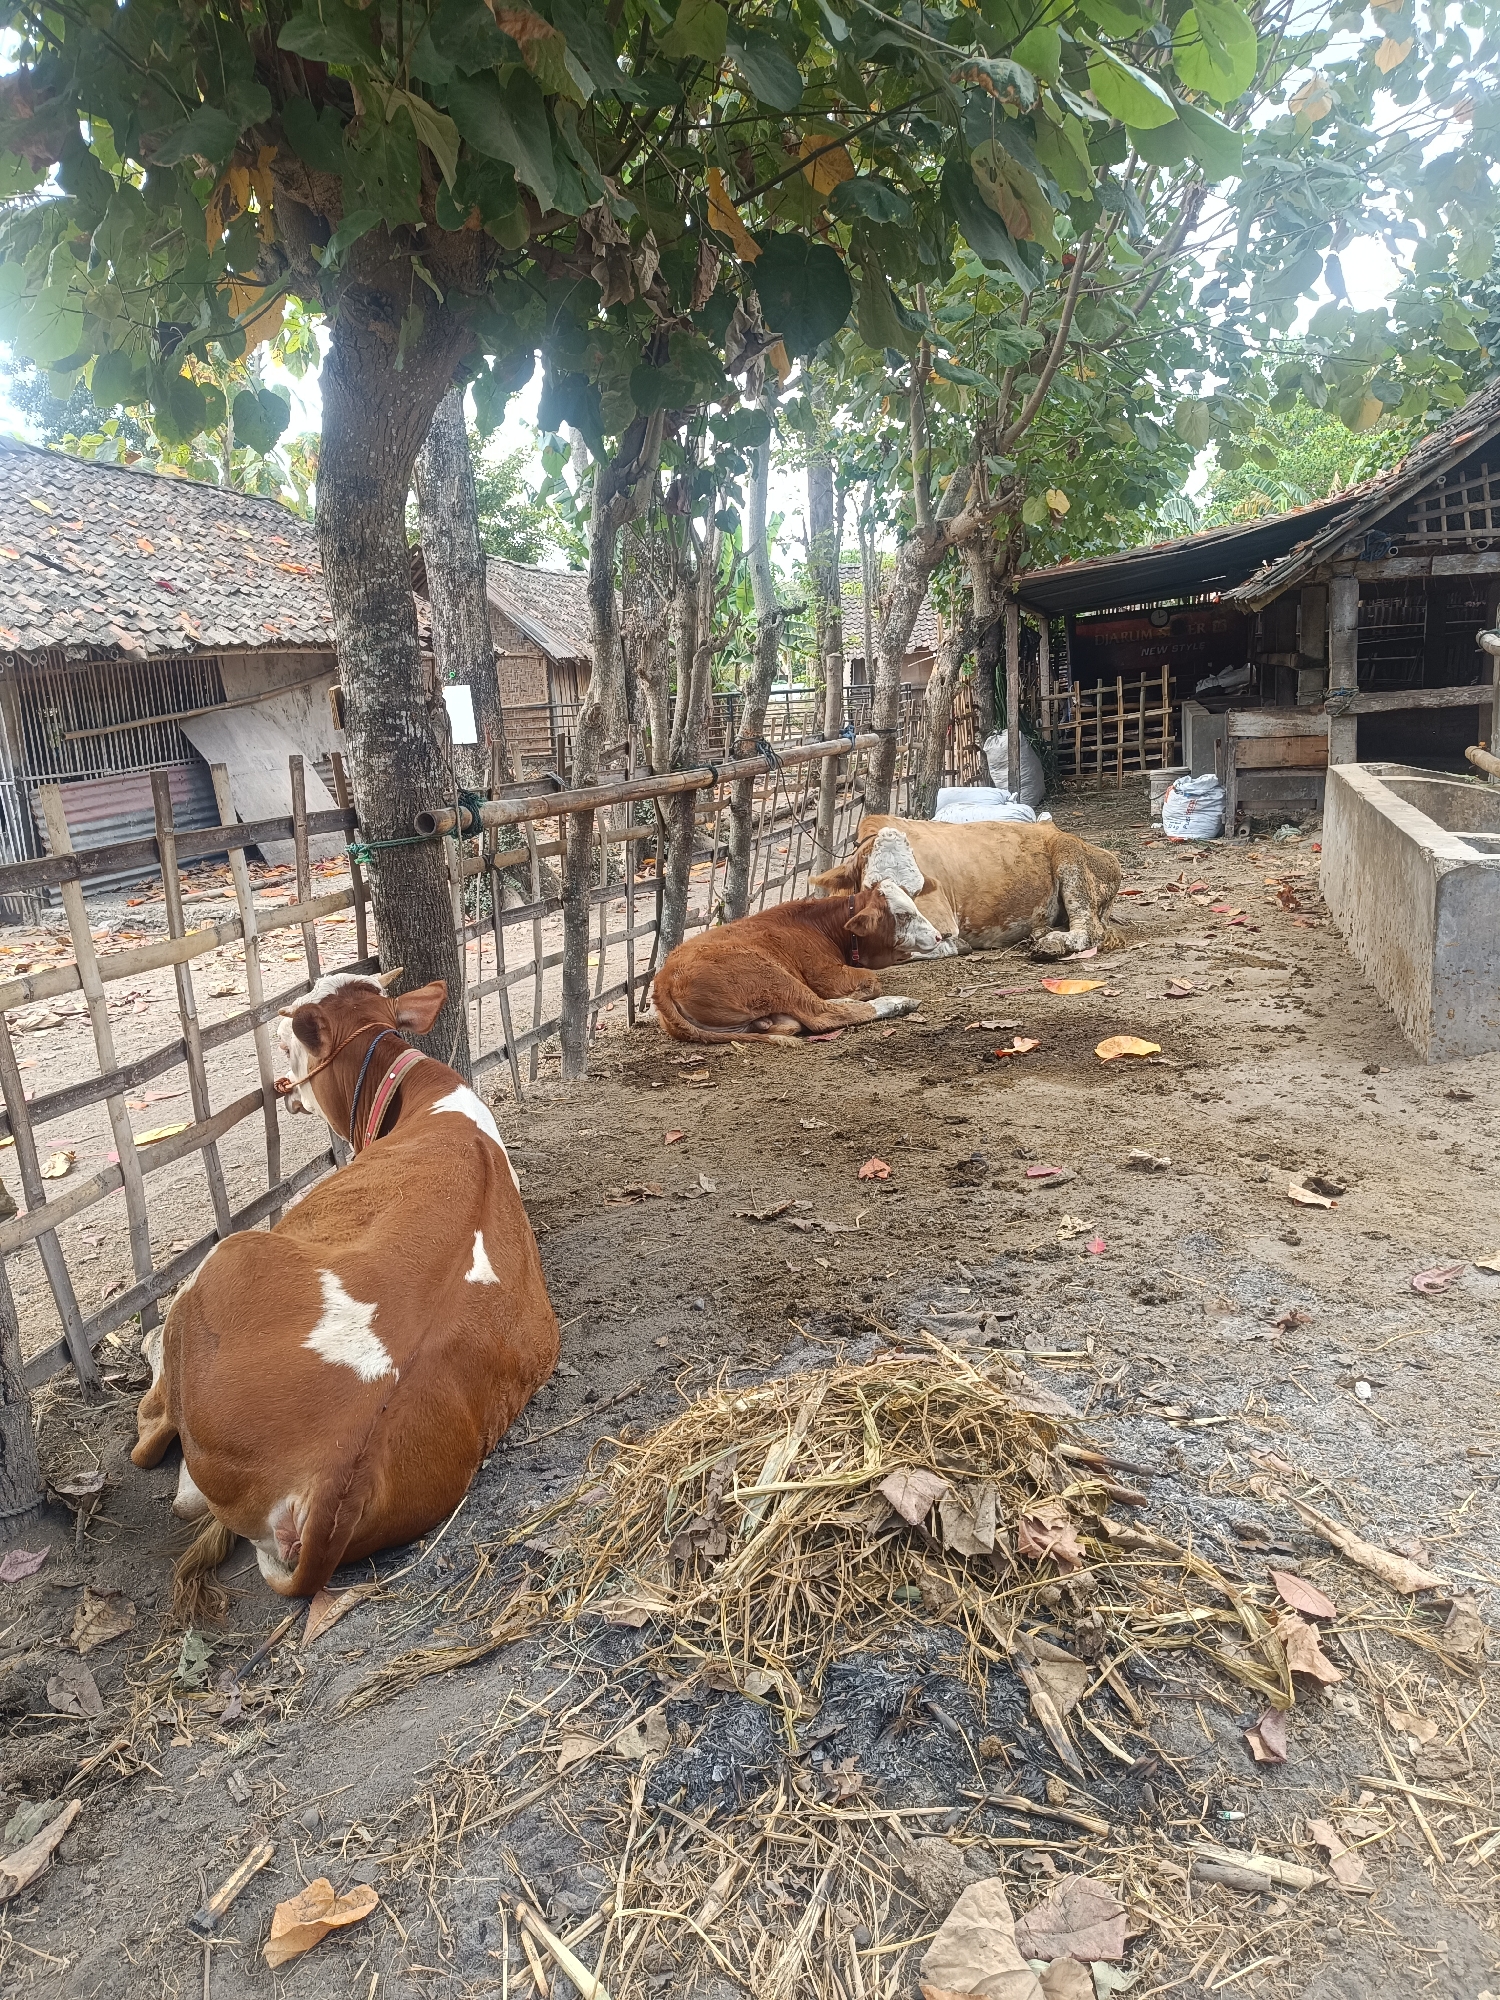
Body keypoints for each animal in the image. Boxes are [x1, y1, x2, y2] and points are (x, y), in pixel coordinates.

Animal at [132, 970, 559, 1617]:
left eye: (288, 1041)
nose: (280, 1083)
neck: (422, 1095)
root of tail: (335, 1470)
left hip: (231, 1258)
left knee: (161, 1448)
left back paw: (151, 1349)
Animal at [651, 882, 942, 1043]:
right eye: (903, 915)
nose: (939, 936)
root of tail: (664, 977)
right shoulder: (827, 975)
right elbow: (871, 981)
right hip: (773, 977)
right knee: (821, 1014)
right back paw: (899, 1003)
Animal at [812, 816, 1123, 960]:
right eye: (872, 888)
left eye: (916, 891)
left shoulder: (942, 923)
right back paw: (1040, 934)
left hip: (1071, 863)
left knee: (1090, 929)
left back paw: (1052, 943)